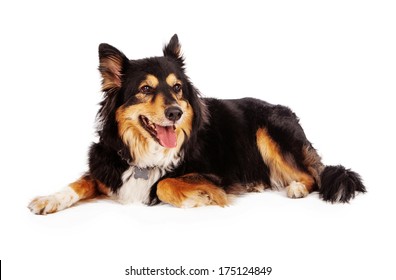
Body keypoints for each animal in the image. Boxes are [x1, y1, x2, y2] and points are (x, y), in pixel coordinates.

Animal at [29, 34, 366, 214]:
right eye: (146, 89)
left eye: (177, 88)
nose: (176, 112)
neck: (146, 156)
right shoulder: (106, 167)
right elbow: (80, 182)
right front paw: (48, 199)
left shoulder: (214, 174)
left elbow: (163, 183)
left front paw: (199, 197)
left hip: (267, 131)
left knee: (312, 176)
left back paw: (295, 187)